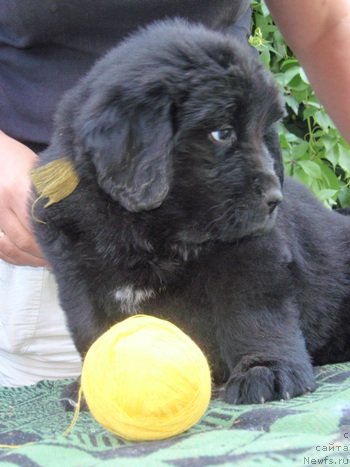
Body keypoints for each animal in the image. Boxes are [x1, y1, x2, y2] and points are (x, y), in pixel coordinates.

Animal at [32, 20, 350, 404]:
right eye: (222, 133)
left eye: (264, 133)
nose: (275, 199)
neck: (149, 229)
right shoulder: (78, 277)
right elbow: (91, 328)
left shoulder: (252, 255)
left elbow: (255, 313)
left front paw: (268, 370)